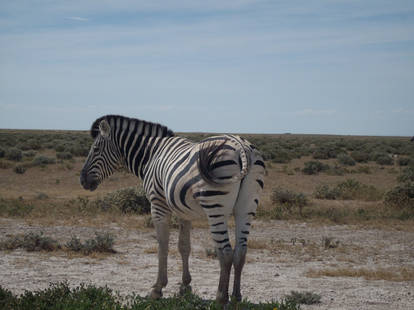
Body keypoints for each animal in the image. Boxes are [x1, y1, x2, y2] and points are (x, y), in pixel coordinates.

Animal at [80, 115, 266, 304]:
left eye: (95, 149)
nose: (83, 180)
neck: (151, 155)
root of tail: (241, 146)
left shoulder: (158, 204)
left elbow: (162, 245)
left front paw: (157, 288)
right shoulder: (185, 212)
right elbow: (184, 246)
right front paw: (185, 286)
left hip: (215, 206)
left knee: (226, 252)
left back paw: (221, 298)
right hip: (247, 206)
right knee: (241, 251)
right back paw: (236, 297)